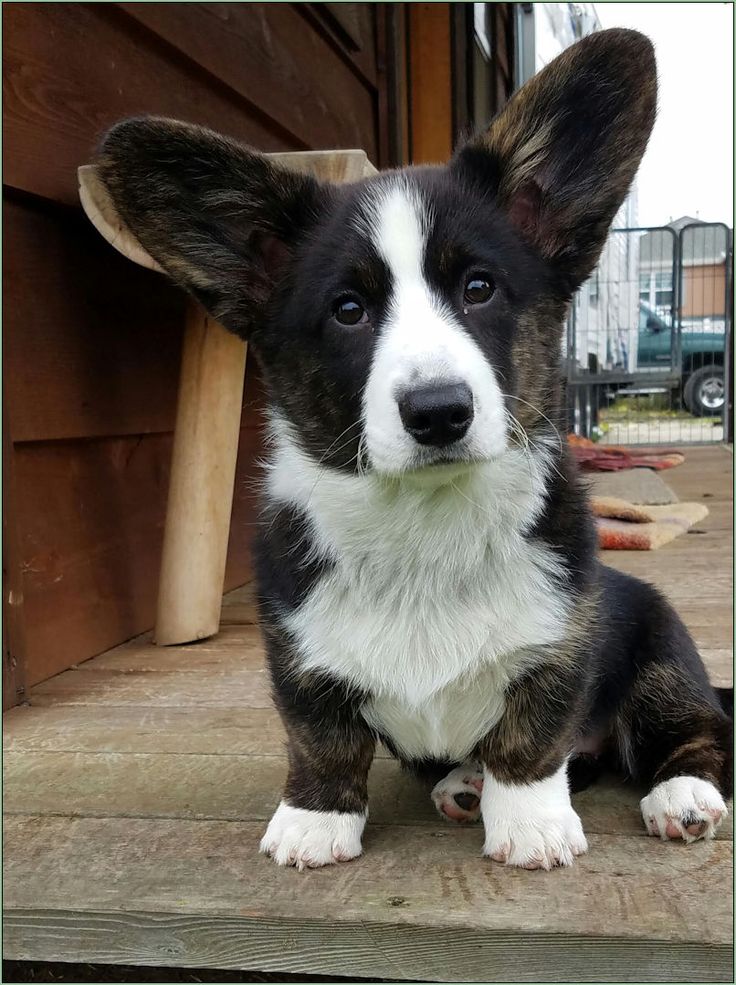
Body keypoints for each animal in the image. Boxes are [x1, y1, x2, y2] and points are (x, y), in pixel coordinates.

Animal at [96, 28, 732, 868]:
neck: (424, 527)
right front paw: (314, 818)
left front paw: (530, 822)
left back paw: (681, 794)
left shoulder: (560, 642)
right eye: (348, 309)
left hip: (662, 651)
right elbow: (319, 731)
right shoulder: (295, 650)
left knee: (691, 728)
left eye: (480, 288)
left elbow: (534, 730)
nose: (438, 412)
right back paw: (464, 782)